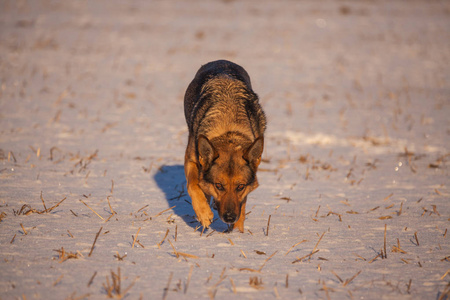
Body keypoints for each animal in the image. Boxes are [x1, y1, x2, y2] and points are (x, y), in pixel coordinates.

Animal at [184, 60, 266, 232]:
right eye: (219, 185)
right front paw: (204, 214)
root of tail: (221, 61)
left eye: (240, 186)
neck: (229, 131)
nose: (229, 217)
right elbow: (193, 185)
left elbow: (242, 206)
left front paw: (238, 232)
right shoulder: (191, 159)